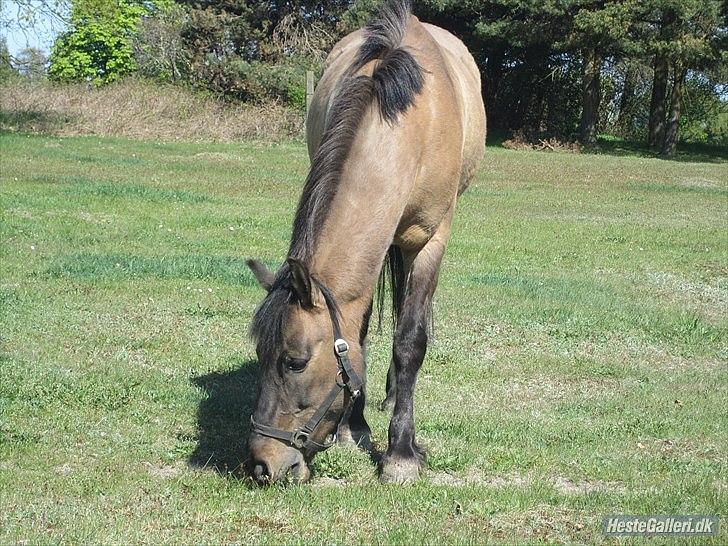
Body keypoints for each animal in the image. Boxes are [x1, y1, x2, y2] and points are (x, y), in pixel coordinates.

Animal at [245, 1, 484, 484]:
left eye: (295, 361)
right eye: (259, 355)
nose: (262, 464)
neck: (412, 122)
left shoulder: (431, 240)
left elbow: (411, 340)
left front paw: (401, 453)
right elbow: (359, 333)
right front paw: (354, 427)